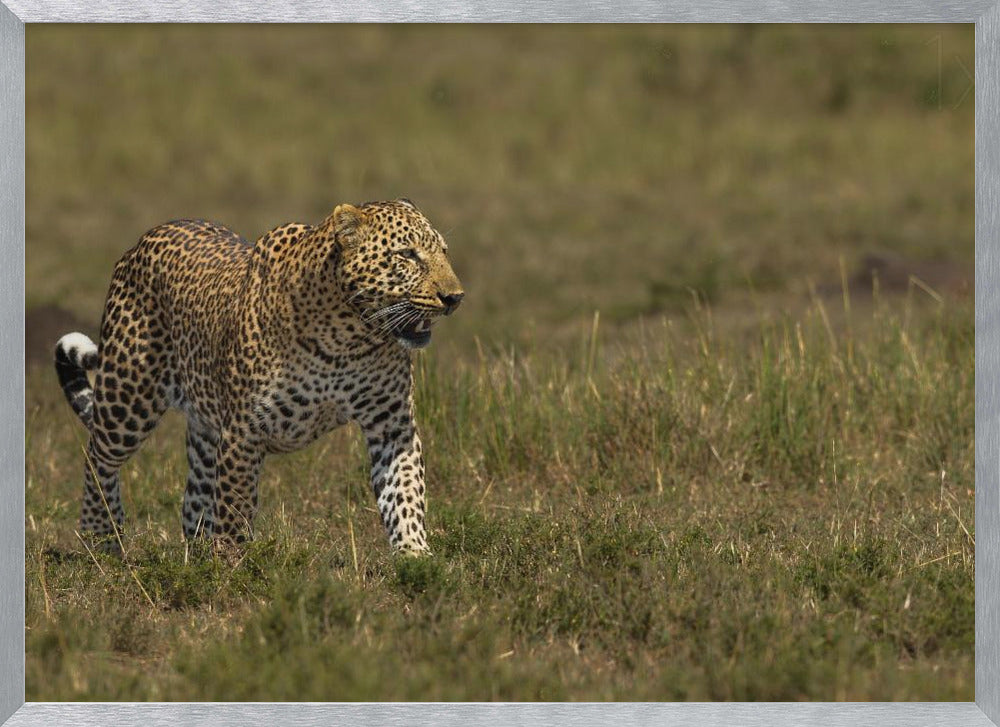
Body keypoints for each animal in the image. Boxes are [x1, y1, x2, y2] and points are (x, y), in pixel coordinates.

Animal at [54, 199, 464, 556]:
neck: (349, 336)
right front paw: (234, 569)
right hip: (129, 397)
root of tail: (142, 240)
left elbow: (404, 491)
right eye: (407, 254)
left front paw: (414, 555)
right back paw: (102, 539)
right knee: (97, 457)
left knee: (193, 499)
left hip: (205, 426)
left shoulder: (392, 424)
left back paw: (196, 556)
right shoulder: (244, 431)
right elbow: (235, 508)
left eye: (444, 252)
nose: (454, 297)